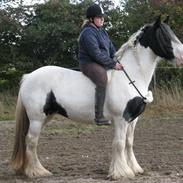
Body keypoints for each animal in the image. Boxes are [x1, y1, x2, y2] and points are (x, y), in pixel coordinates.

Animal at [11, 17, 183, 180]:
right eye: (164, 36)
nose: (181, 56)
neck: (130, 77)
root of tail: (29, 77)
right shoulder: (121, 119)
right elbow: (119, 143)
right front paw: (121, 172)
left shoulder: (132, 120)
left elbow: (129, 142)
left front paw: (134, 168)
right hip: (37, 119)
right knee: (31, 141)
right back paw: (37, 172)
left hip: (46, 117)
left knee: (30, 141)